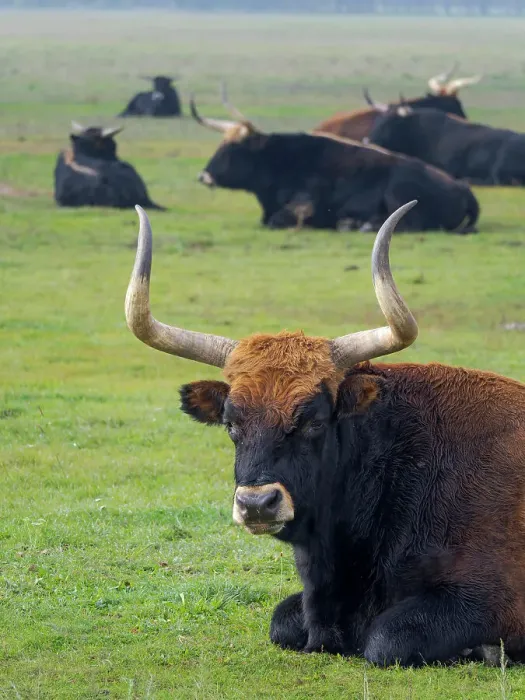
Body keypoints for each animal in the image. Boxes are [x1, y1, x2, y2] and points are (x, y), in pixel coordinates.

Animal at [124, 202, 525, 667]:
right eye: (231, 423)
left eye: (314, 420)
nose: (256, 503)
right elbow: (281, 620)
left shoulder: (487, 599)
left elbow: (387, 637)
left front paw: (486, 650)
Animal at [190, 96, 479, 233]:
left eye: (232, 148)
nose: (204, 176)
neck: (281, 161)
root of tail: (463, 189)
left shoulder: (302, 206)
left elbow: (277, 219)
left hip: (400, 190)